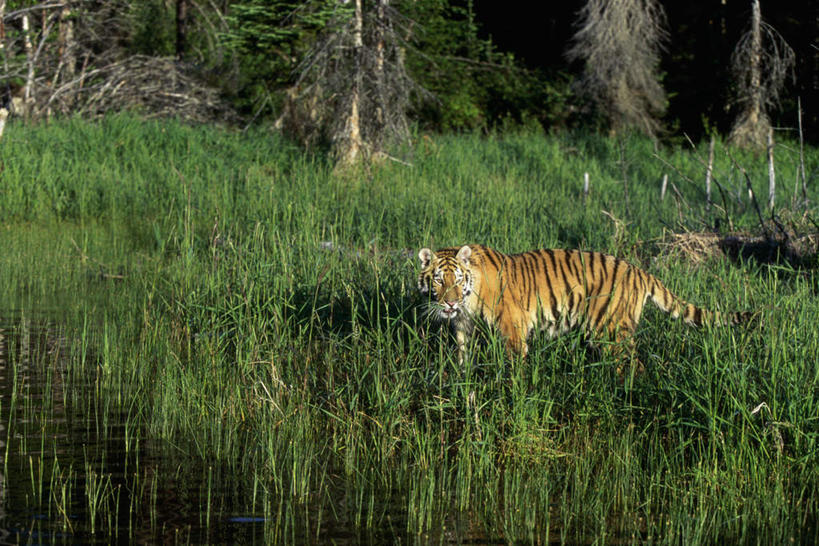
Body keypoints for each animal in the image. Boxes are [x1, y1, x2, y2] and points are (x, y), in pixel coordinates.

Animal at [420, 244, 752, 368]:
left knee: (634, 367)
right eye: (437, 280)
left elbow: (514, 369)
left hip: (613, 332)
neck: (469, 300)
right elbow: (463, 360)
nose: (449, 301)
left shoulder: (513, 331)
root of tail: (640, 271)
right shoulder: (463, 330)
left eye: (456, 279)